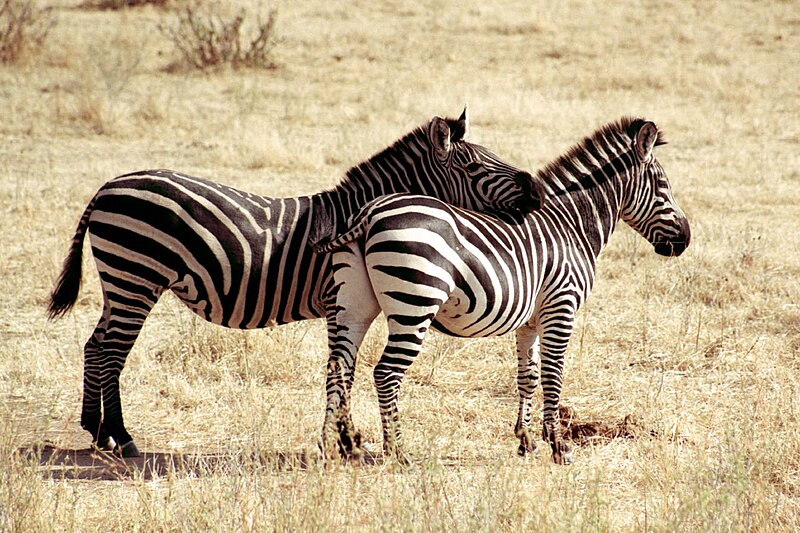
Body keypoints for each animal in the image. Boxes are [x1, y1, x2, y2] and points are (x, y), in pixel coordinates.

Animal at [48, 108, 536, 458]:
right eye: (474, 166)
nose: (533, 189)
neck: (358, 215)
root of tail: (109, 186)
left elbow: (343, 368)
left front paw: (346, 440)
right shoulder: (339, 300)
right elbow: (342, 370)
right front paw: (343, 441)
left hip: (120, 281)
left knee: (95, 344)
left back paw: (97, 431)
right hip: (135, 275)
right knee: (112, 352)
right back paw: (122, 436)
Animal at [316, 115, 692, 462]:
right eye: (663, 185)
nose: (685, 240)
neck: (572, 224)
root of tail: (369, 211)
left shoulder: (530, 320)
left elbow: (529, 376)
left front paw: (526, 440)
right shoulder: (562, 305)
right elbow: (553, 375)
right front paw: (558, 446)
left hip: (353, 303)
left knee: (340, 368)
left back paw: (333, 447)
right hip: (415, 302)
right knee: (386, 374)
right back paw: (398, 452)